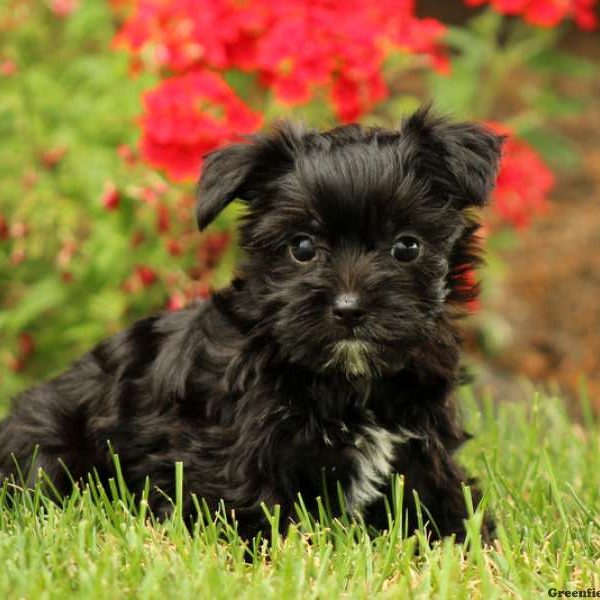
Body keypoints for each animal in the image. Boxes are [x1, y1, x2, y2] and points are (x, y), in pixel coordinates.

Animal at [0, 106, 504, 540]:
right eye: (302, 247)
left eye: (406, 247)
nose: (349, 309)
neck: (351, 380)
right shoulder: (236, 452)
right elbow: (253, 505)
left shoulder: (421, 444)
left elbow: (437, 495)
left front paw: (471, 541)